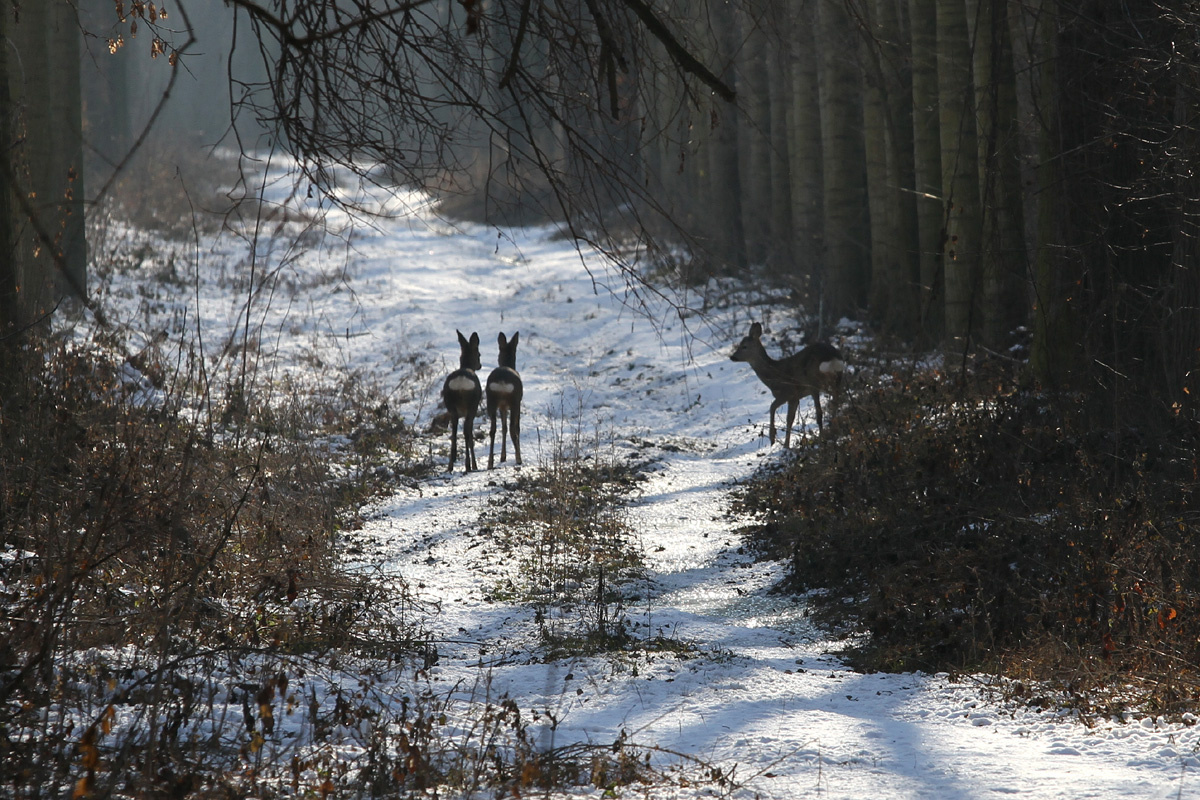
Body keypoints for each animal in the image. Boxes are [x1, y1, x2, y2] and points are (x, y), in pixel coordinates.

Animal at [441, 331, 482, 472]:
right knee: (466, 432)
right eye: (479, 354)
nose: (480, 365)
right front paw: (473, 465)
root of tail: (460, 383)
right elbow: (469, 435)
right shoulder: (473, 409)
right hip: (471, 406)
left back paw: (450, 466)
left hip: (451, 406)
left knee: (453, 432)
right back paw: (469, 465)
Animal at [484, 331, 523, 470]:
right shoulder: (517, 403)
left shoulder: (502, 406)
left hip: (491, 401)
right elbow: (516, 427)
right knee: (513, 429)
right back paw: (519, 459)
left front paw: (503, 457)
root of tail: (502, 381)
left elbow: (504, 428)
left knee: (493, 430)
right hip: (514, 400)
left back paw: (490, 463)